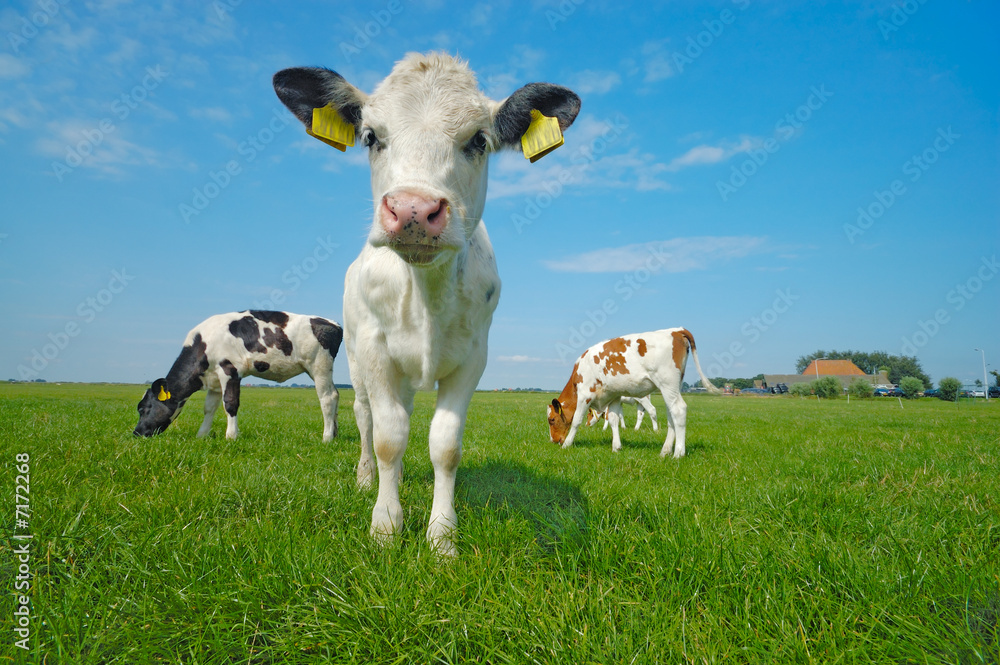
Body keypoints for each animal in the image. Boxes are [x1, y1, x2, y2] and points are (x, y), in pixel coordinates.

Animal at [134, 310, 342, 442]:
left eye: (143, 408)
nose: (136, 433)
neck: (204, 344)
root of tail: (333, 323)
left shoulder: (229, 370)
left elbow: (230, 404)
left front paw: (231, 436)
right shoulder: (214, 381)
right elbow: (209, 408)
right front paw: (201, 435)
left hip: (319, 366)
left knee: (327, 398)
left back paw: (326, 438)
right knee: (336, 394)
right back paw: (334, 434)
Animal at [274, 52, 580, 555]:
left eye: (478, 140)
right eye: (371, 137)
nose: (413, 210)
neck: (426, 295)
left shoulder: (473, 358)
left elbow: (445, 445)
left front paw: (442, 536)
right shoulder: (377, 352)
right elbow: (388, 438)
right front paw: (385, 525)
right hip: (355, 359)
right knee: (365, 418)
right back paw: (367, 478)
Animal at [548, 328, 720, 458]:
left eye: (551, 420)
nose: (553, 441)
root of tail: (676, 330)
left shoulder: (585, 394)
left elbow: (577, 420)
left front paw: (567, 444)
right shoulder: (614, 395)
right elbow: (613, 420)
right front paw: (616, 447)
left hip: (667, 383)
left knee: (679, 410)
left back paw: (678, 453)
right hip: (671, 387)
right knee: (671, 416)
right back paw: (665, 451)